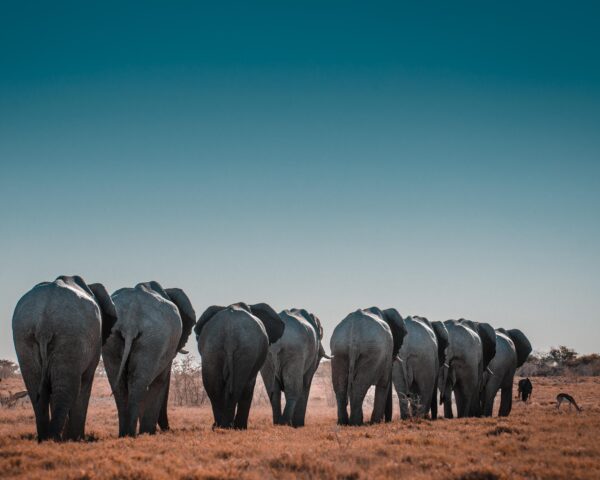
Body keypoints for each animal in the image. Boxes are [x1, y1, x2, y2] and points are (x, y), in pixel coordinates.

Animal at [12, 276, 116, 440]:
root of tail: (44, 322)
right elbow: (85, 382)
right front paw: (77, 439)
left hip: (23, 335)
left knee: (37, 390)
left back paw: (45, 439)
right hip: (71, 335)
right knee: (69, 388)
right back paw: (57, 438)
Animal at [102, 282, 196, 436]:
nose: (169, 429)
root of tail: (131, 323)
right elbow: (161, 381)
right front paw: (149, 432)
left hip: (113, 338)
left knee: (121, 385)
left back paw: (124, 434)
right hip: (154, 340)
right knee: (141, 383)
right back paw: (136, 434)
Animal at [193, 302, 284, 430]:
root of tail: (230, 335)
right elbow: (249, 385)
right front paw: (240, 427)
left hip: (212, 348)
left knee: (214, 387)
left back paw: (219, 426)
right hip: (246, 350)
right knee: (237, 388)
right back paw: (229, 426)